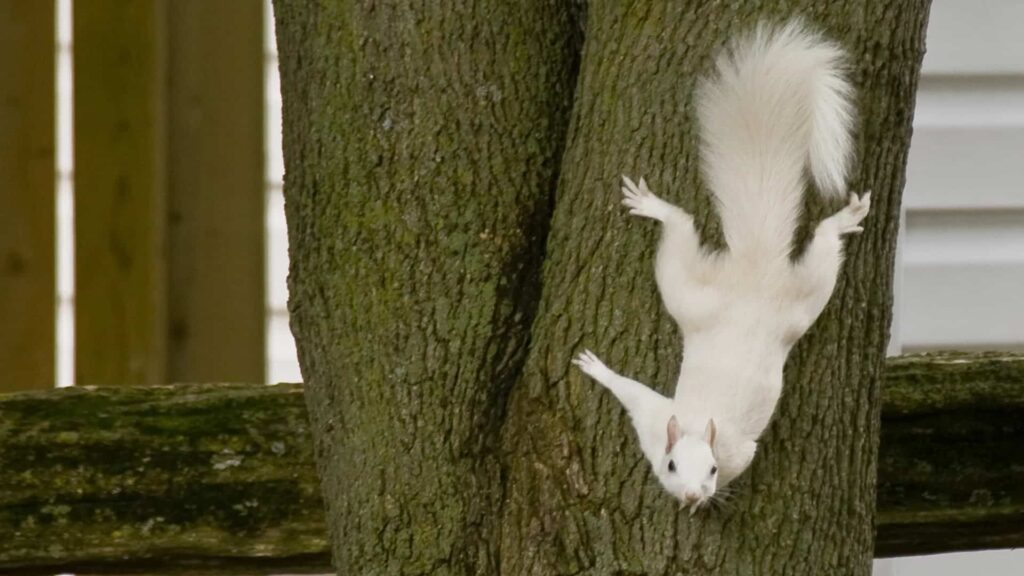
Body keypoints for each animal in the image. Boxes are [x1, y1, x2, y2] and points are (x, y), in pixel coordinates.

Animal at [573, 20, 870, 512]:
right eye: (672, 465)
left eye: (712, 470)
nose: (694, 493)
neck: (699, 427)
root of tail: (756, 269)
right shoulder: (656, 422)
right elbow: (631, 391)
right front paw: (597, 368)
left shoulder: (737, 452)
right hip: (714, 294)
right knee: (684, 226)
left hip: (791, 301)